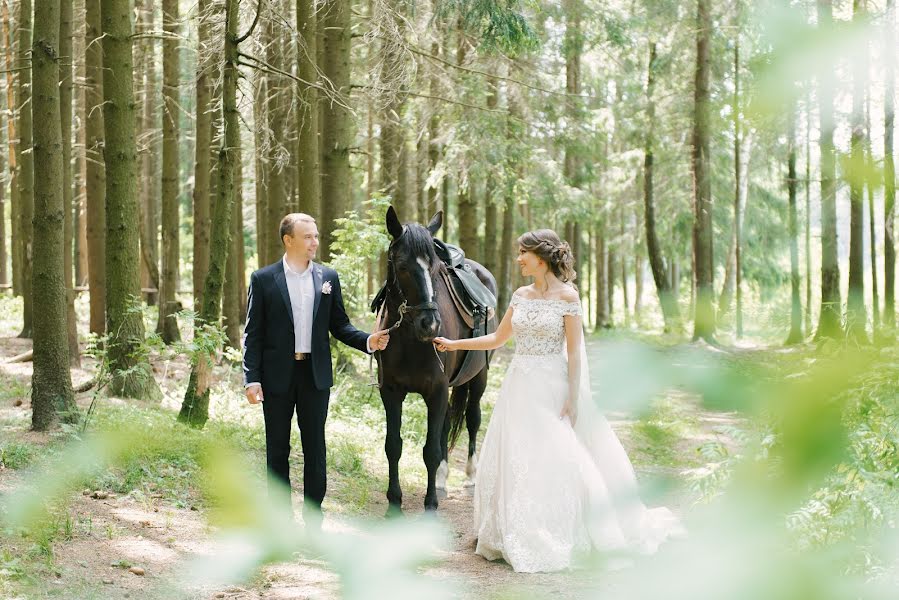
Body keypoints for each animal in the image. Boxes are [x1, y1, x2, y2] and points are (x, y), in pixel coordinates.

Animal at [374, 205, 500, 510]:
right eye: (402, 265)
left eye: (435, 268)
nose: (429, 325)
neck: (409, 340)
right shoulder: (391, 392)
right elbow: (393, 445)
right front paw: (394, 499)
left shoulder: (437, 390)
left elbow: (430, 450)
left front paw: (430, 504)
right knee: (445, 427)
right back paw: (442, 480)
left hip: (478, 378)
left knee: (473, 419)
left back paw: (470, 476)